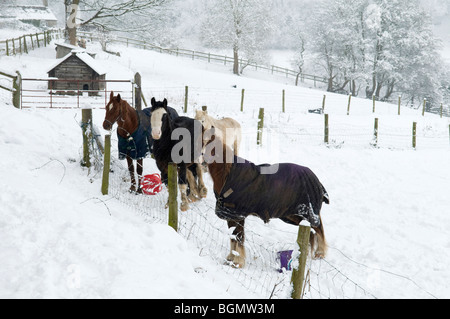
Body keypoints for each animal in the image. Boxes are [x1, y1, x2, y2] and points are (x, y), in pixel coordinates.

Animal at [202, 136, 328, 270]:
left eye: (209, 146)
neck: (228, 176)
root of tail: (315, 179)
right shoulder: (231, 216)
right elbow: (233, 237)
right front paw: (230, 259)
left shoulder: (238, 216)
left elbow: (239, 237)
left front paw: (237, 262)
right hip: (291, 215)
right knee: (311, 232)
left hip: (306, 213)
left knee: (318, 228)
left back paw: (320, 253)